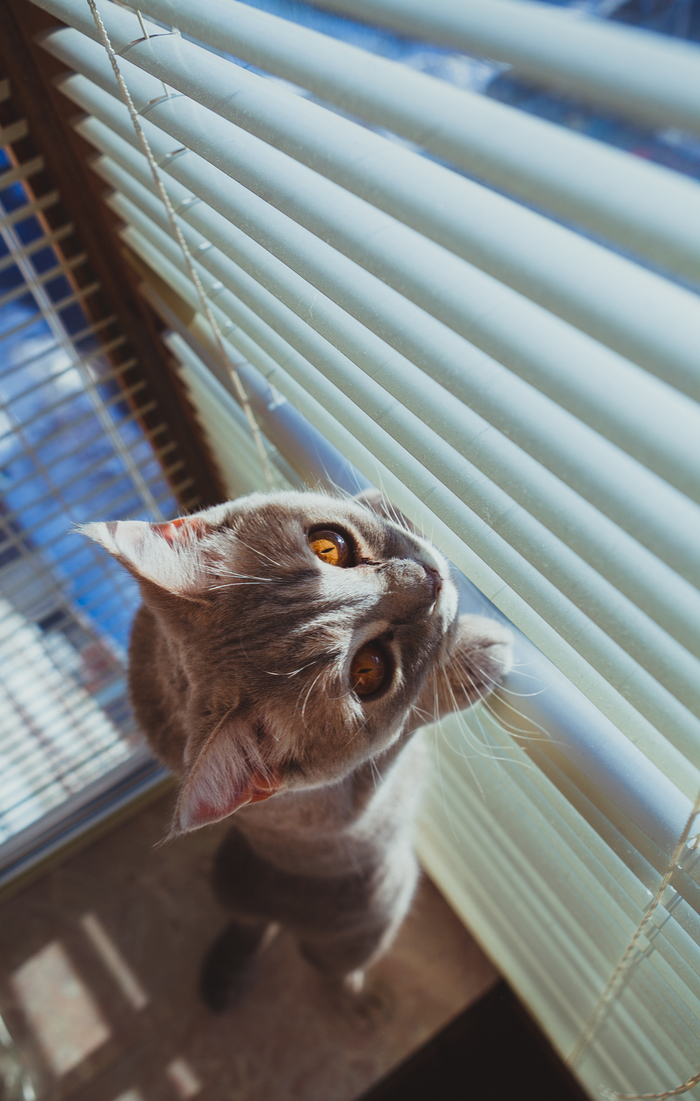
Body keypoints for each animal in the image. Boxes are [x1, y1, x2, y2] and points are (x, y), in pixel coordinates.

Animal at [83, 495, 515, 1008]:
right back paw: (362, 994)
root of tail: (262, 911)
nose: (432, 578)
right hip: (377, 909)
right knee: (330, 967)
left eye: (329, 546)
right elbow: (416, 715)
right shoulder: (349, 802)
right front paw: (476, 652)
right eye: (369, 671)